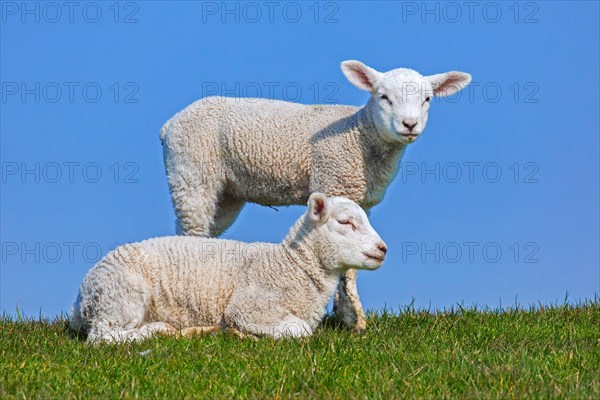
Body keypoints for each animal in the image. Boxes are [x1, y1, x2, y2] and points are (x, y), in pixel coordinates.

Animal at [71, 192, 390, 342]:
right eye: (345, 222)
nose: (382, 249)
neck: (291, 267)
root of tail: (81, 298)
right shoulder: (249, 308)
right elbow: (298, 330)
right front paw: (240, 334)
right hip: (121, 295)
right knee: (103, 337)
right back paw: (159, 330)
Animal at [162, 59, 472, 332]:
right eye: (383, 97)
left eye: (427, 99)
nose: (409, 125)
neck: (361, 134)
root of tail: (170, 124)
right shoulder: (334, 182)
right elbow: (347, 266)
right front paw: (352, 318)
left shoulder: (362, 200)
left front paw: (349, 315)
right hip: (192, 174)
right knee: (192, 229)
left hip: (226, 194)